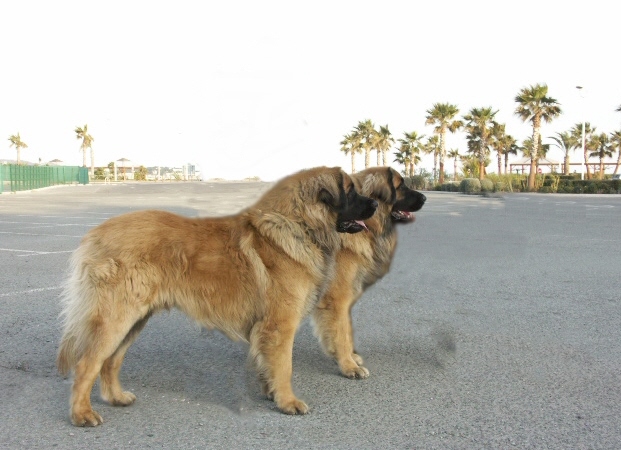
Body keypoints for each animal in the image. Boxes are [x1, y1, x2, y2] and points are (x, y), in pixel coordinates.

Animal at [58, 167, 376, 428]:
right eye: (350, 191)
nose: (375, 203)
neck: (299, 224)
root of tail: (94, 235)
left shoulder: (266, 329)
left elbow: (268, 365)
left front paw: (271, 393)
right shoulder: (280, 325)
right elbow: (285, 366)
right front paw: (288, 402)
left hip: (134, 320)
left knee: (110, 361)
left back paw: (116, 397)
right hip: (116, 319)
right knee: (87, 364)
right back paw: (82, 414)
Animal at [312, 167, 424, 378]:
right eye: (401, 186)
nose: (424, 197)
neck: (368, 227)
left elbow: (346, 331)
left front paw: (348, 357)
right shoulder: (337, 299)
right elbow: (341, 334)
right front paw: (348, 366)